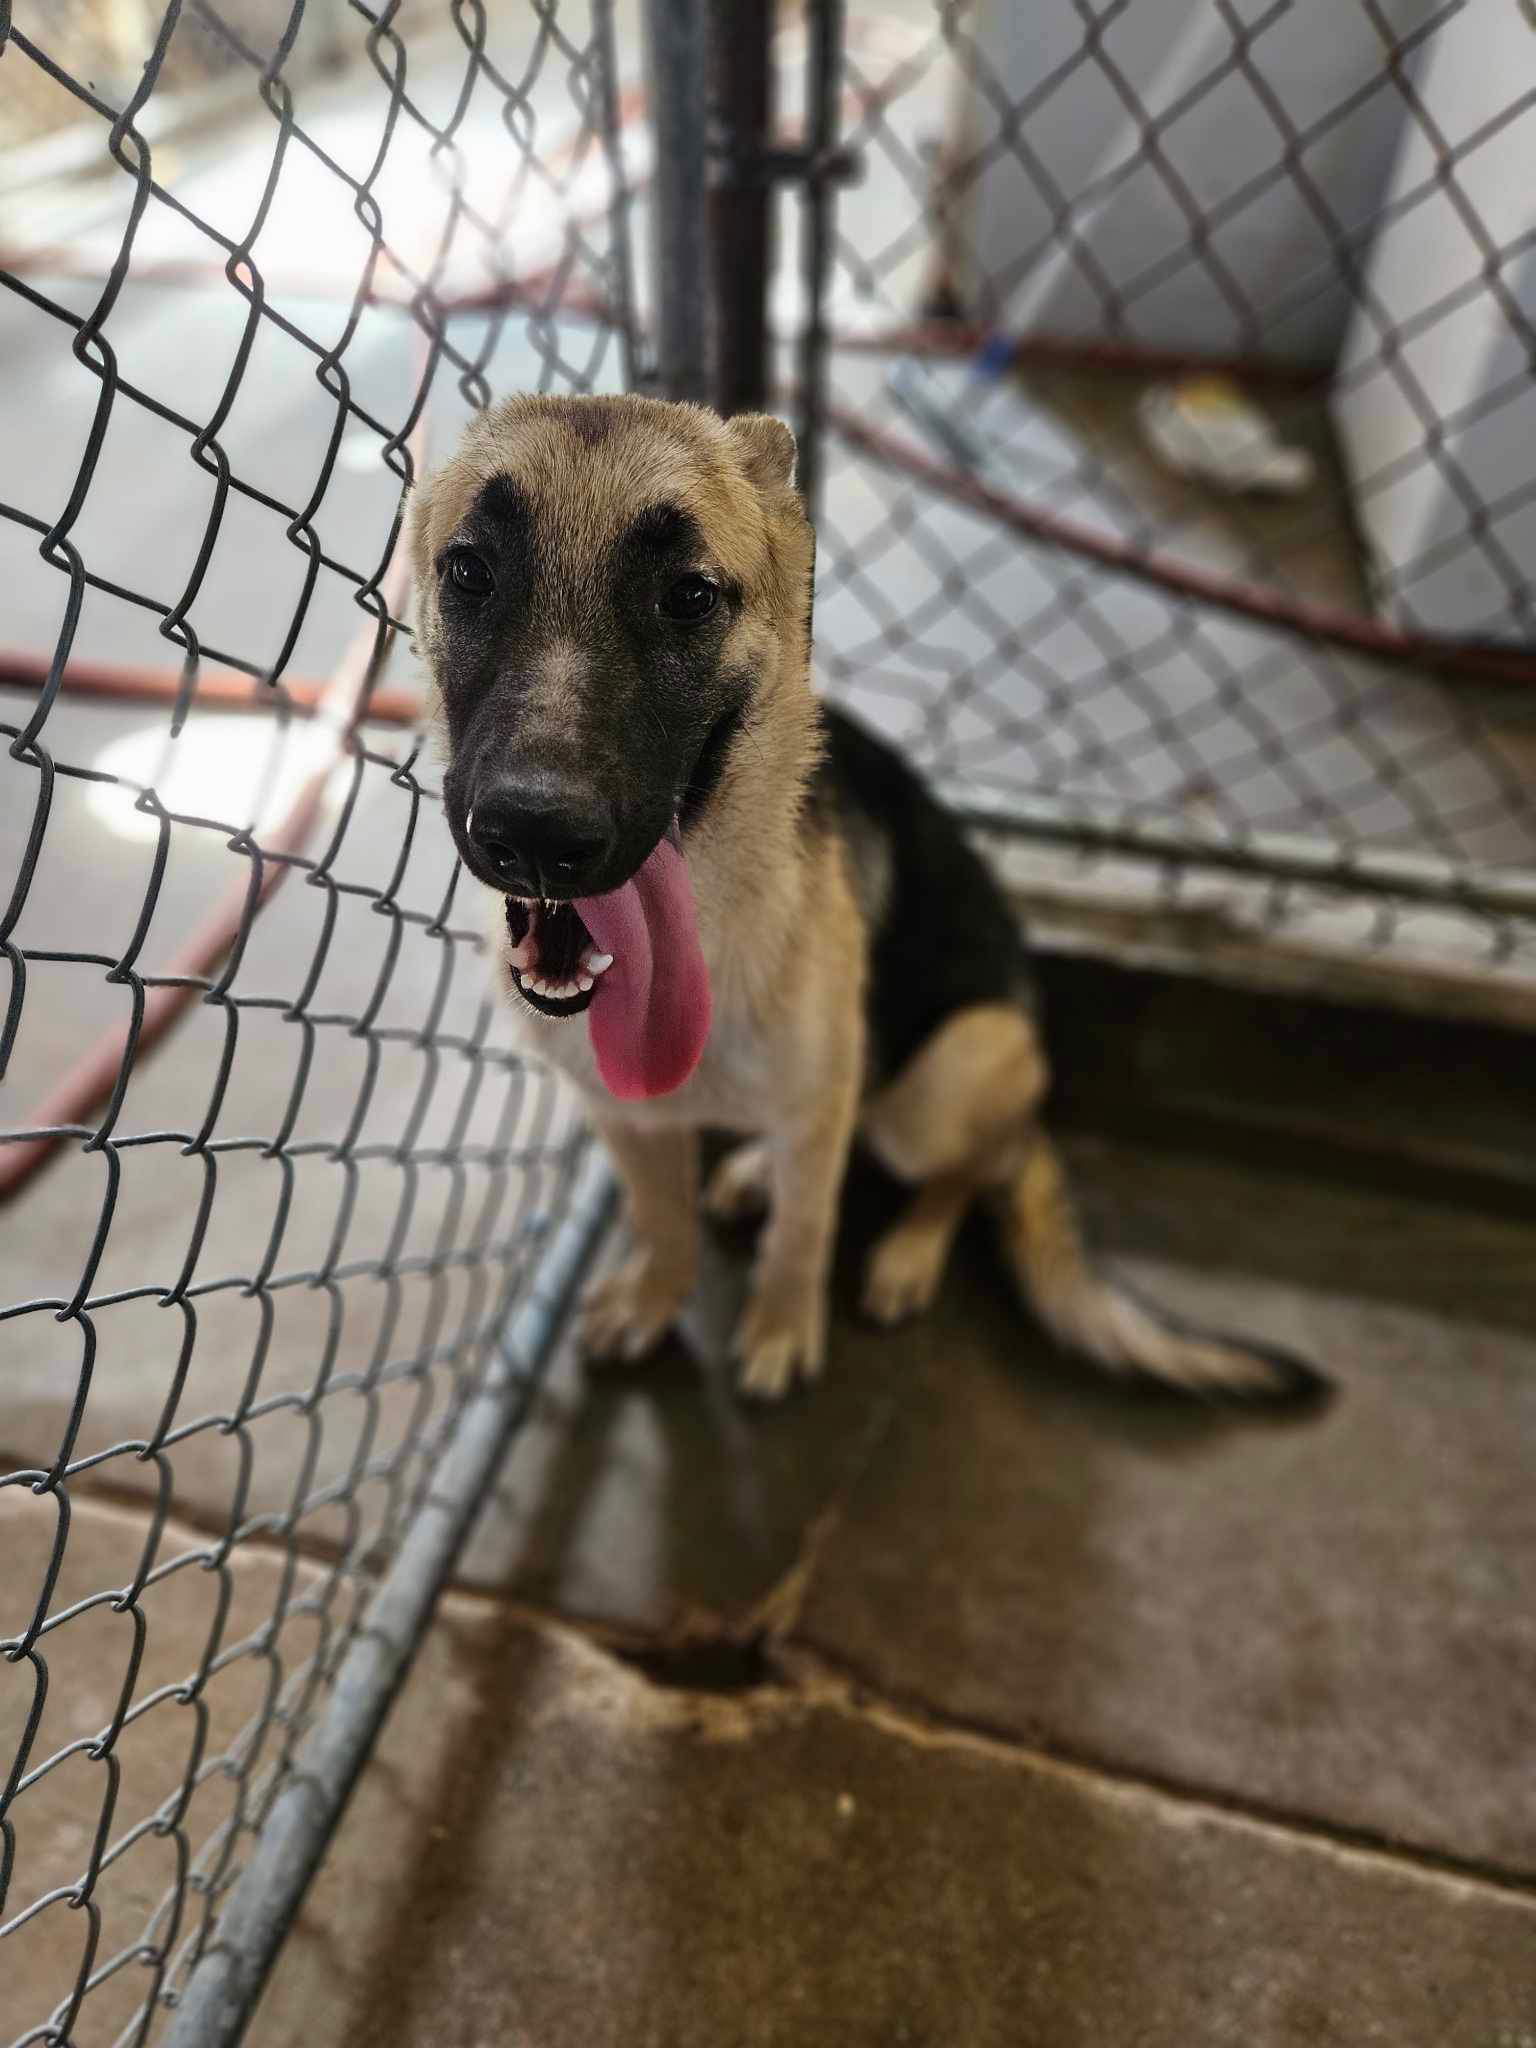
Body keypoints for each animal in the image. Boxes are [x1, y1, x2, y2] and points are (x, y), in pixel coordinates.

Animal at [415, 391, 1327, 1400]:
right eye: (469, 571)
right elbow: (663, 1222)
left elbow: (805, 1233)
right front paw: (659, 1296)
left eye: (689, 596)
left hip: (943, 1081)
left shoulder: (824, 1113)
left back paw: (908, 1250)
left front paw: (781, 1324)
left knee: (975, 1164)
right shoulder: (627, 1122)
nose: (535, 835)